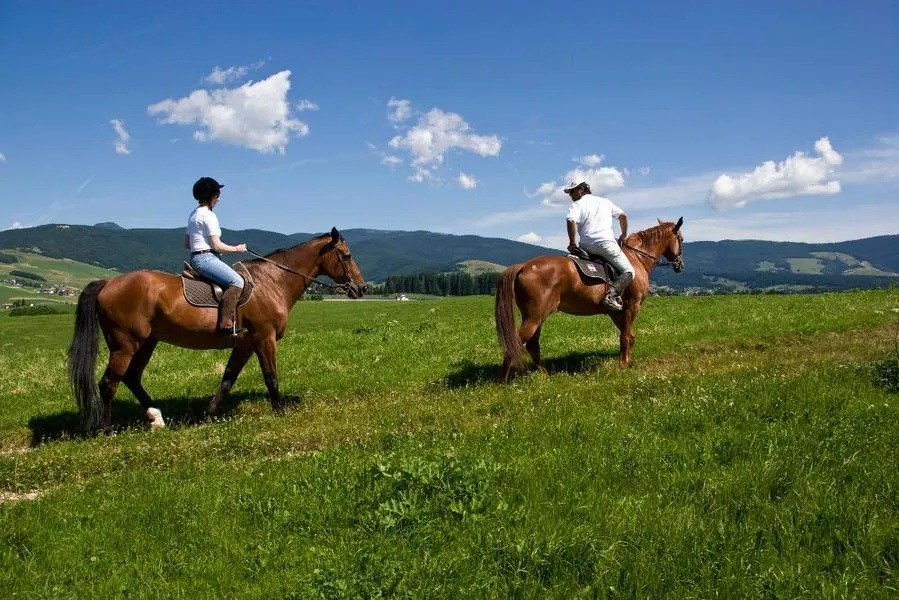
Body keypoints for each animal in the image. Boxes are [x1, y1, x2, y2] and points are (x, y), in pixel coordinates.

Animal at [67, 227, 367, 434]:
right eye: (347, 255)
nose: (362, 288)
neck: (273, 281)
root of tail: (108, 283)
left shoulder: (245, 344)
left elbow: (227, 379)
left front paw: (210, 414)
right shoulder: (264, 338)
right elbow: (271, 377)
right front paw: (280, 411)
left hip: (147, 342)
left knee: (131, 378)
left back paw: (157, 418)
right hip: (125, 344)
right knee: (109, 383)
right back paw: (107, 430)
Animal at [494, 217, 685, 382]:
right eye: (681, 239)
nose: (680, 264)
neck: (637, 258)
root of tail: (523, 266)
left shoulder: (617, 312)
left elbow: (629, 335)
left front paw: (627, 361)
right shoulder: (632, 306)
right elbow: (625, 336)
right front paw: (623, 365)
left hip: (535, 317)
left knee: (532, 345)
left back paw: (544, 375)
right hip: (535, 317)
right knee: (514, 343)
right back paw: (502, 382)